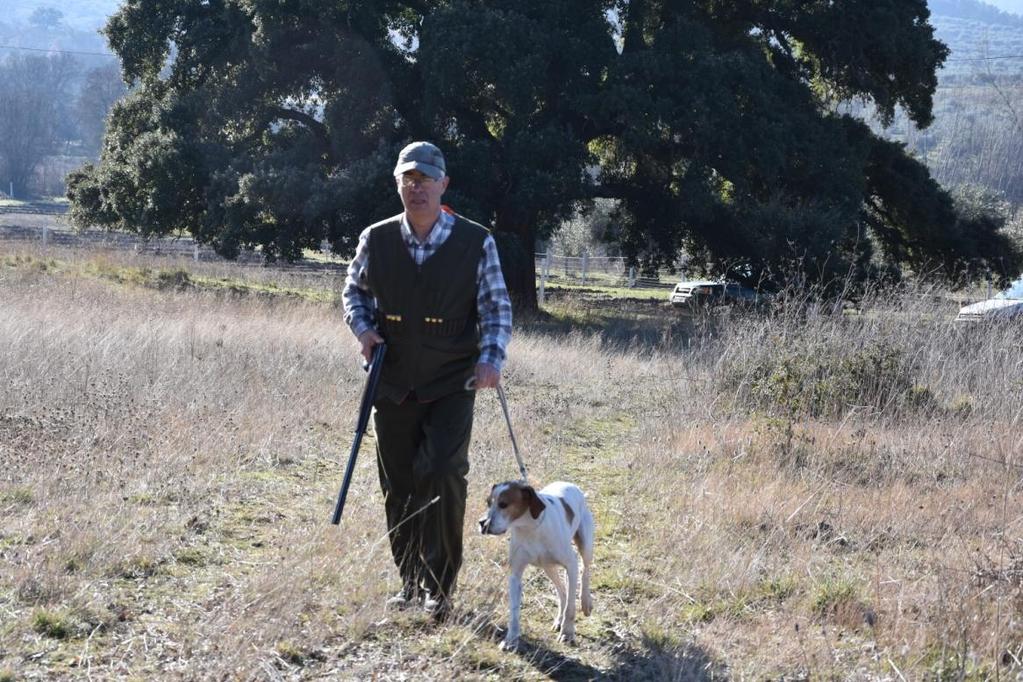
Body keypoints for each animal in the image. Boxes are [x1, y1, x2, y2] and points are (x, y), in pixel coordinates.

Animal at [476, 480, 593, 650]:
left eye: (503, 504)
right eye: (488, 502)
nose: (482, 523)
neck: (530, 528)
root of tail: (570, 484)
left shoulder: (571, 564)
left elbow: (570, 608)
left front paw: (567, 633)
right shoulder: (515, 575)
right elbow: (514, 613)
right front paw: (511, 639)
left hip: (585, 547)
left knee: (585, 571)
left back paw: (586, 602)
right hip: (548, 567)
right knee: (562, 591)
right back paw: (559, 619)